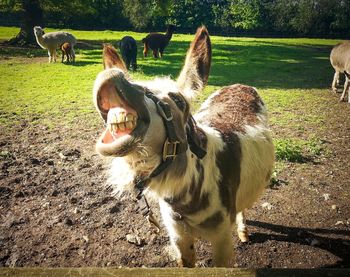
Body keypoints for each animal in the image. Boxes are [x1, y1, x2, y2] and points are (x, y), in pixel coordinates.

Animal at [94, 27, 274, 266]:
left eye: (179, 101)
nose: (112, 76)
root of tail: (239, 85)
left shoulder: (222, 238)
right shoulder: (178, 235)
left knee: (242, 207)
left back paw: (243, 231)